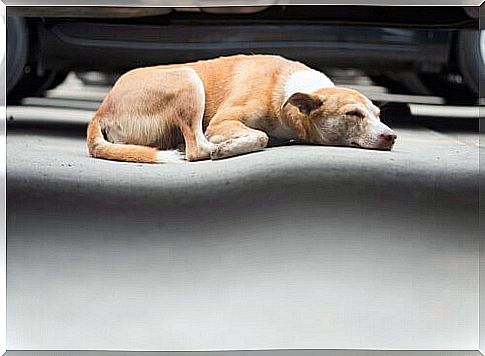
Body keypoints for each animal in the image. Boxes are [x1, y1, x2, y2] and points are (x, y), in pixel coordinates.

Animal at [88, 54, 398, 163]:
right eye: (353, 114)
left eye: (378, 115)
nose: (391, 136)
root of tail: (100, 112)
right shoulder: (222, 122)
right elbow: (259, 136)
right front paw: (228, 147)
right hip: (188, 78)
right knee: (196, 148)